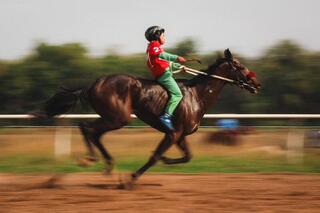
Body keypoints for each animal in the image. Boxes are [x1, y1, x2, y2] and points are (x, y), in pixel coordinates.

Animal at [31, 48, 262, 183]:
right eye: (240, 66)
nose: (257, 83)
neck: (196, 95)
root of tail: (92, 84)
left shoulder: (180, 135)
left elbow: (187, 156)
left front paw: (168, 160)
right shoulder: (172, 133)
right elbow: (155, 156)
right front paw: (132, 178)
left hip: (111, 116)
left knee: (88, 129)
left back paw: (102, 163)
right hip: (118, 118)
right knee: (89, 129)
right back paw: (93, 160)